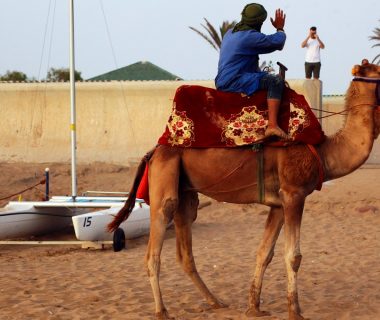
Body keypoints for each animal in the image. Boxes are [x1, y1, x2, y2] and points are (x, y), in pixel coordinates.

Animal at [107, 62, 380, 320]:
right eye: (378, 72)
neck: (324, 152)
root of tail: (153, 151)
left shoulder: (279, 203)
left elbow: (264, 253)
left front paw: (254, 307)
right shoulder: (294, 194)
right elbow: (293, 256)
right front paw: (295, 311)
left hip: (186, 193)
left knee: (185, 252)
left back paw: (216, 302)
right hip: (165, 179)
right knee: (155, 246)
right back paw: (162, 311)